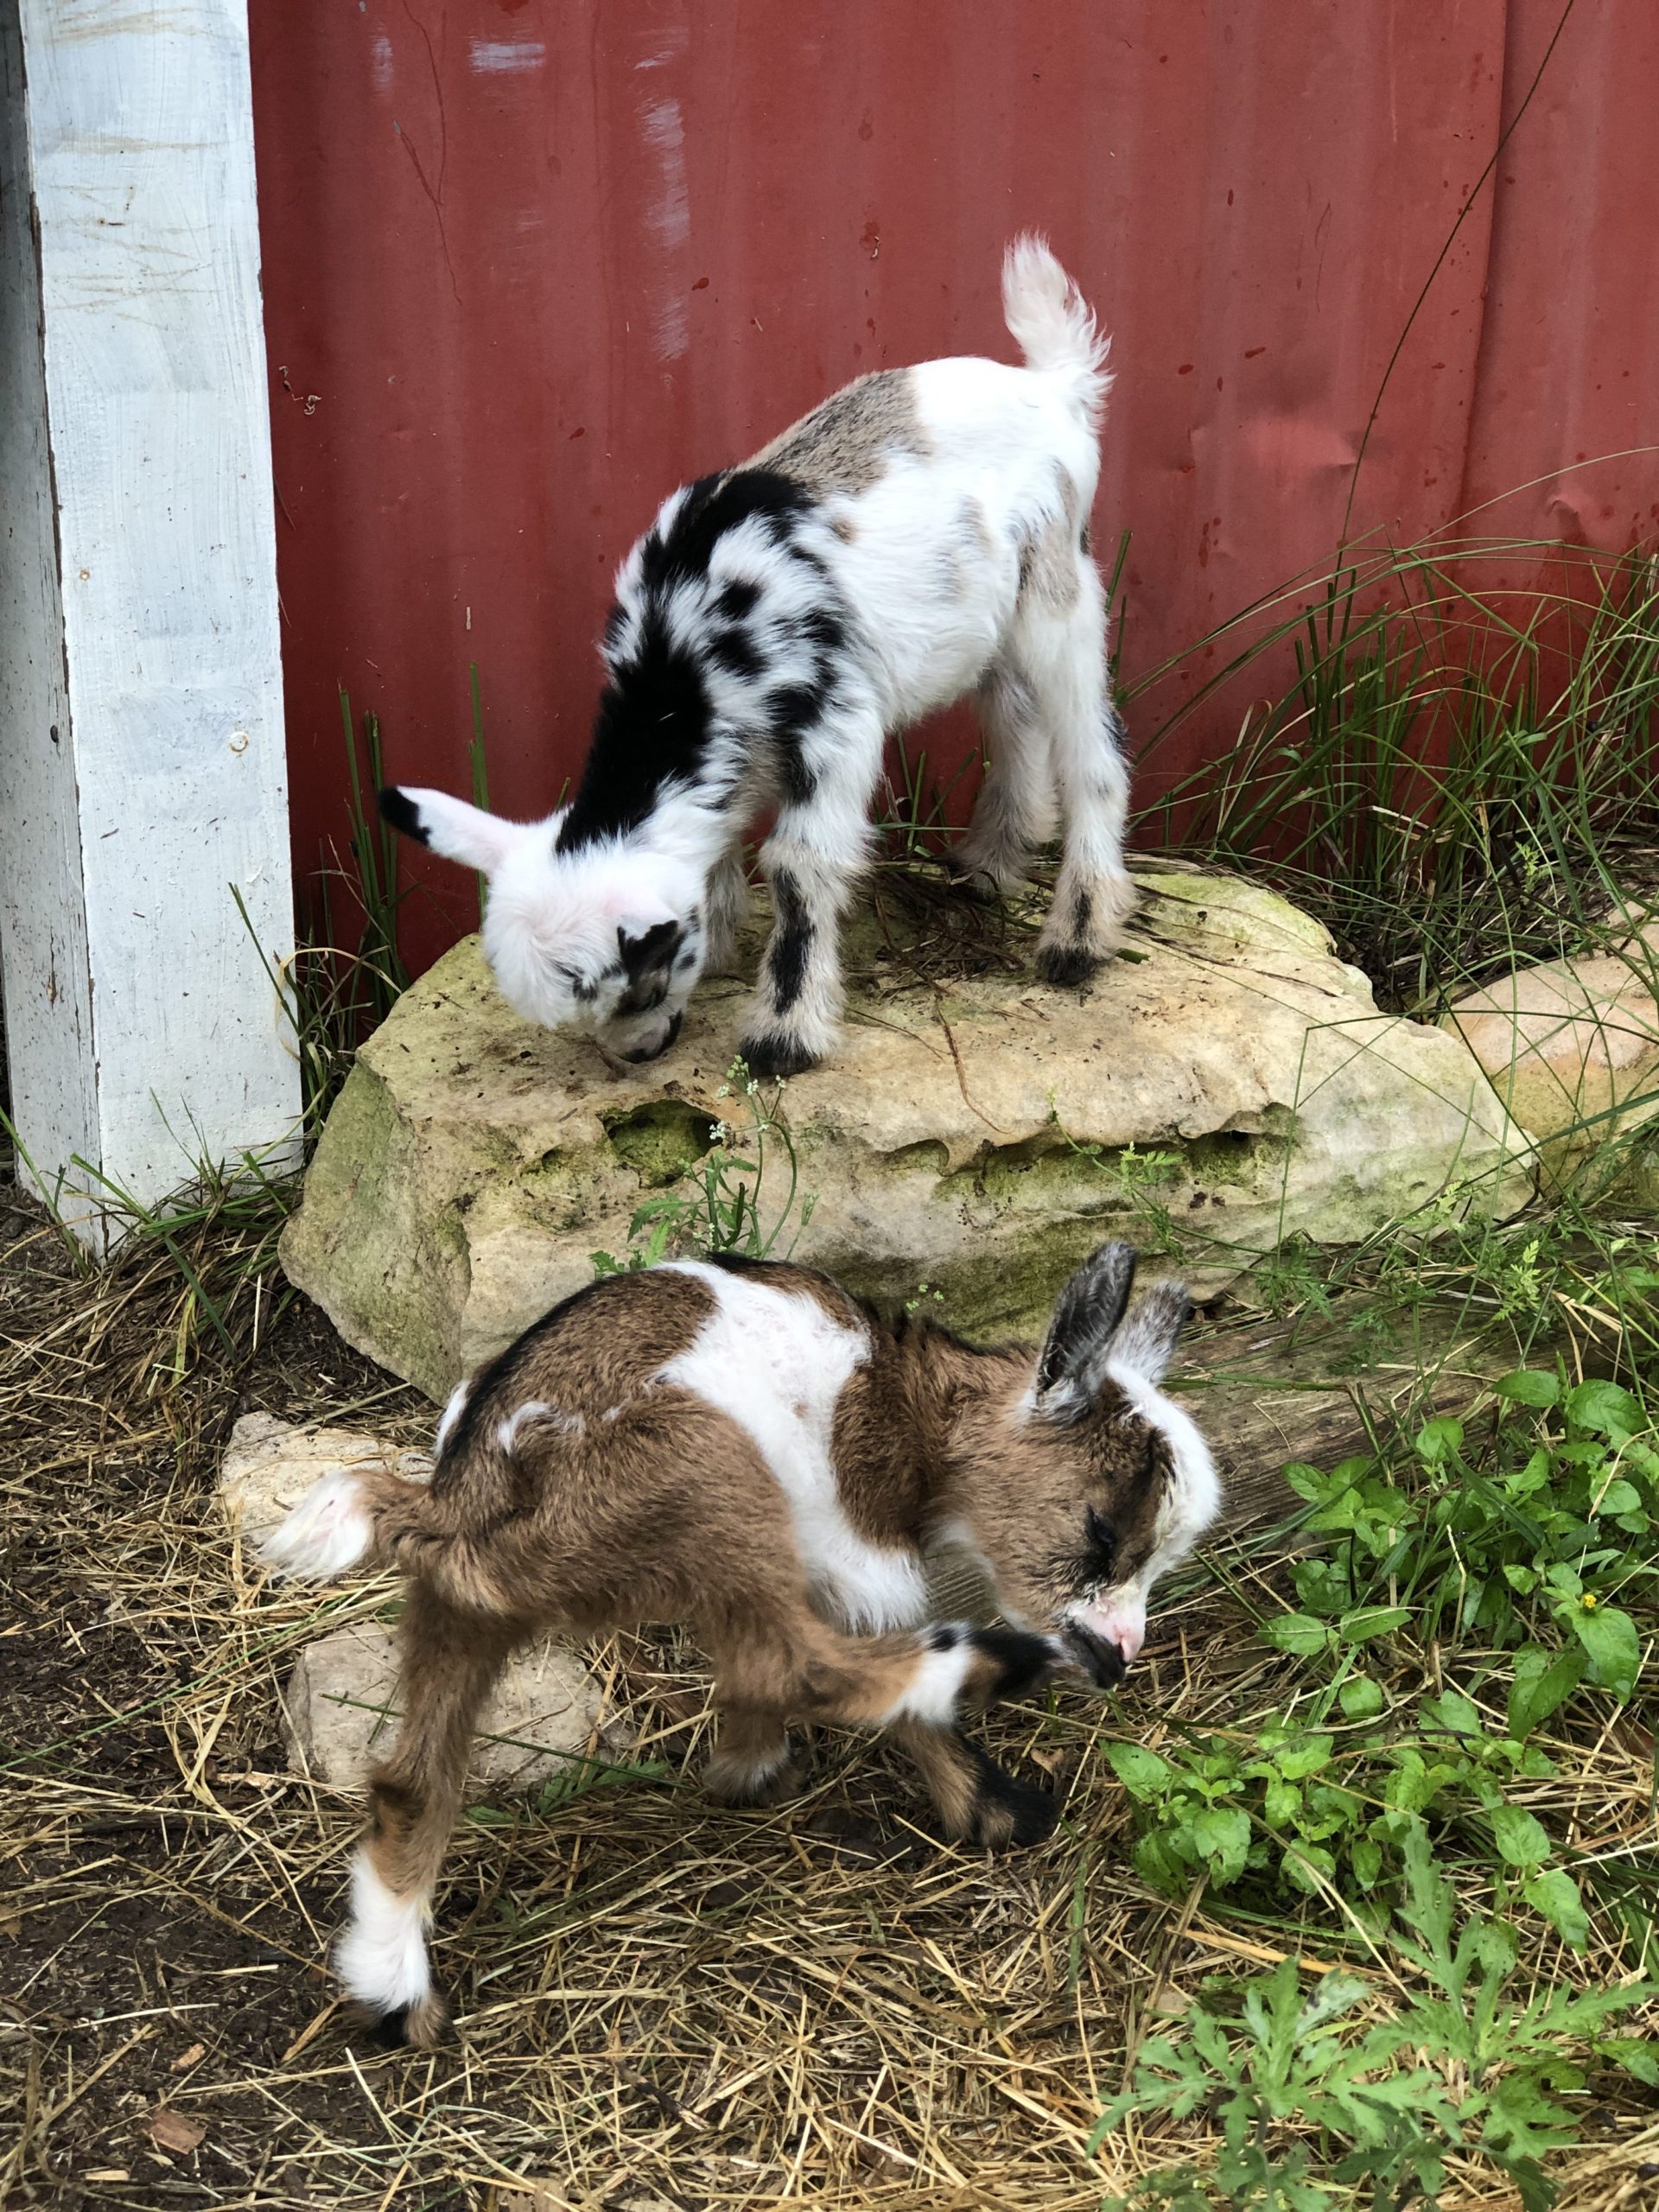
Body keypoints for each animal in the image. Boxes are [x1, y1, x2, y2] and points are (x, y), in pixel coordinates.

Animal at [264, 1241, 1220, 2046]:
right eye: (1102, 1532)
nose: (1117, 1655)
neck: (911, 1407)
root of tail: (457, 1501)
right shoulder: (846, 1550)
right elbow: (853, 1647)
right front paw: (986, 1804)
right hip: (713, 1478)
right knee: (793, 1663)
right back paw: (995, 1666)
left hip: (459, 1609)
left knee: (413, 1779)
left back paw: (393, 1988)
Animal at [378, 235, 1132, 1077]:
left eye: (638, 989)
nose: (639, 1055)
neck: (681, 657)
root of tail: (1054, 384)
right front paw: (724, 945)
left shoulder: (837, 720)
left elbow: (799, 865)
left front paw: (784, 1032)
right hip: (989, 622)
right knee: (1014, 713)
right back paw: (990, 864)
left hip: (1059, 587)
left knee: (1090, 748)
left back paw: (1077, 938)